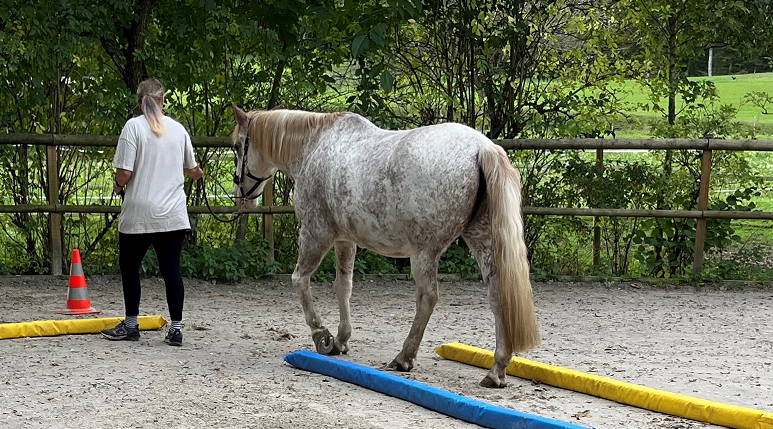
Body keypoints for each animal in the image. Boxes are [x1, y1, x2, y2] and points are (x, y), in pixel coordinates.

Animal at [230, 103, 540, 387]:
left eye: (237, 146)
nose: (241, 196)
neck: (315, 146)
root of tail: (482, 148)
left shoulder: (316, 234)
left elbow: (299, 280)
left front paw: (322, 336)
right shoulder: (345, 240)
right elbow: (343, 287)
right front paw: (341, 339)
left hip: (424, 252)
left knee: (428, 298)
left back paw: (404, 357)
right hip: (482, 242)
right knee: (498, 296)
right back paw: (496, 370)